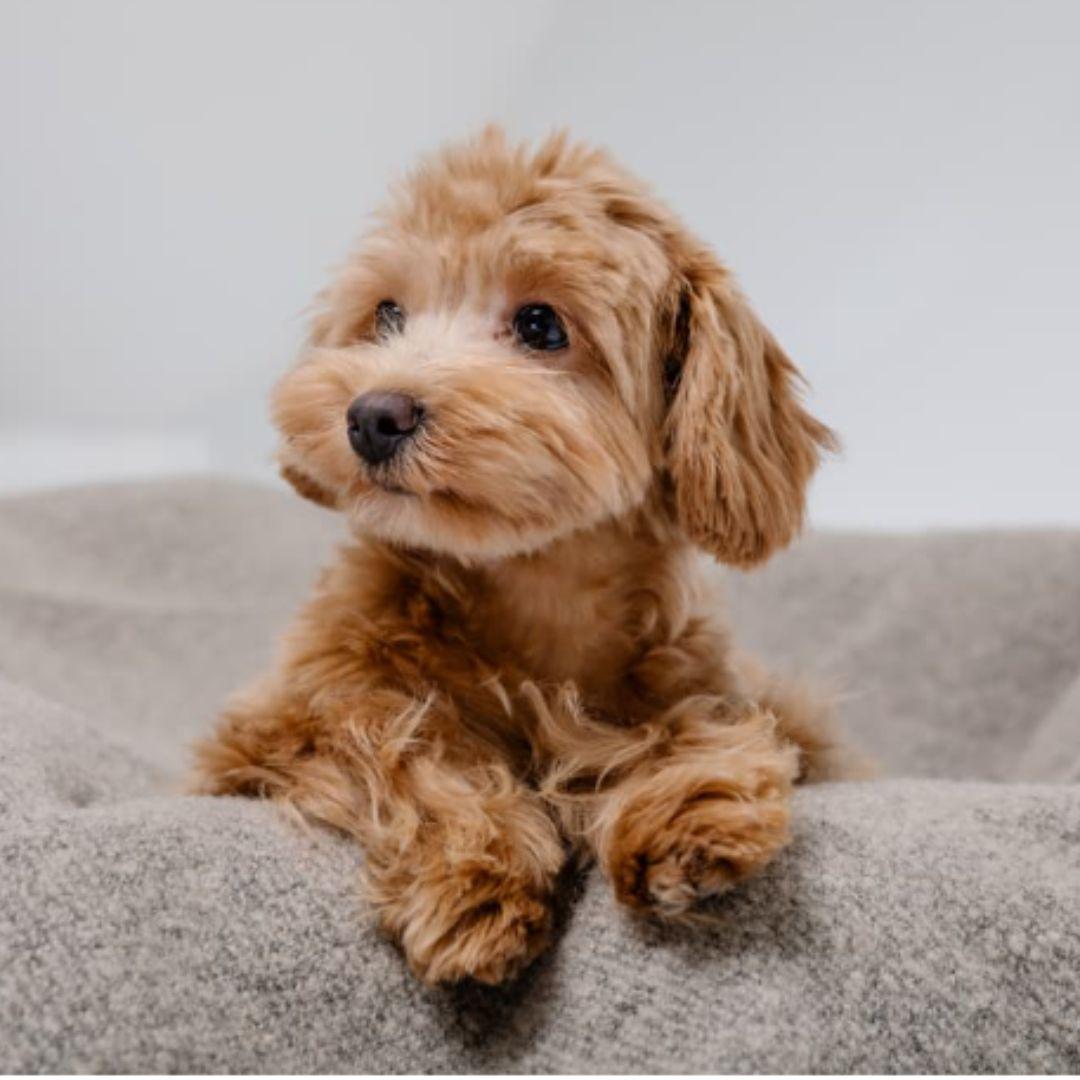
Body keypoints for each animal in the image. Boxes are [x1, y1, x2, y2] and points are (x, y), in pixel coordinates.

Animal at [194, 126, 851, 989]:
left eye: (541, 325)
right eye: (388, 314)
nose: (373, 414)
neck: (534, 592)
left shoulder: (705, 680)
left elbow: (692, 726)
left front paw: (685, 806)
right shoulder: (267, 736)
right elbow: (394, 742)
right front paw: (476, 878)